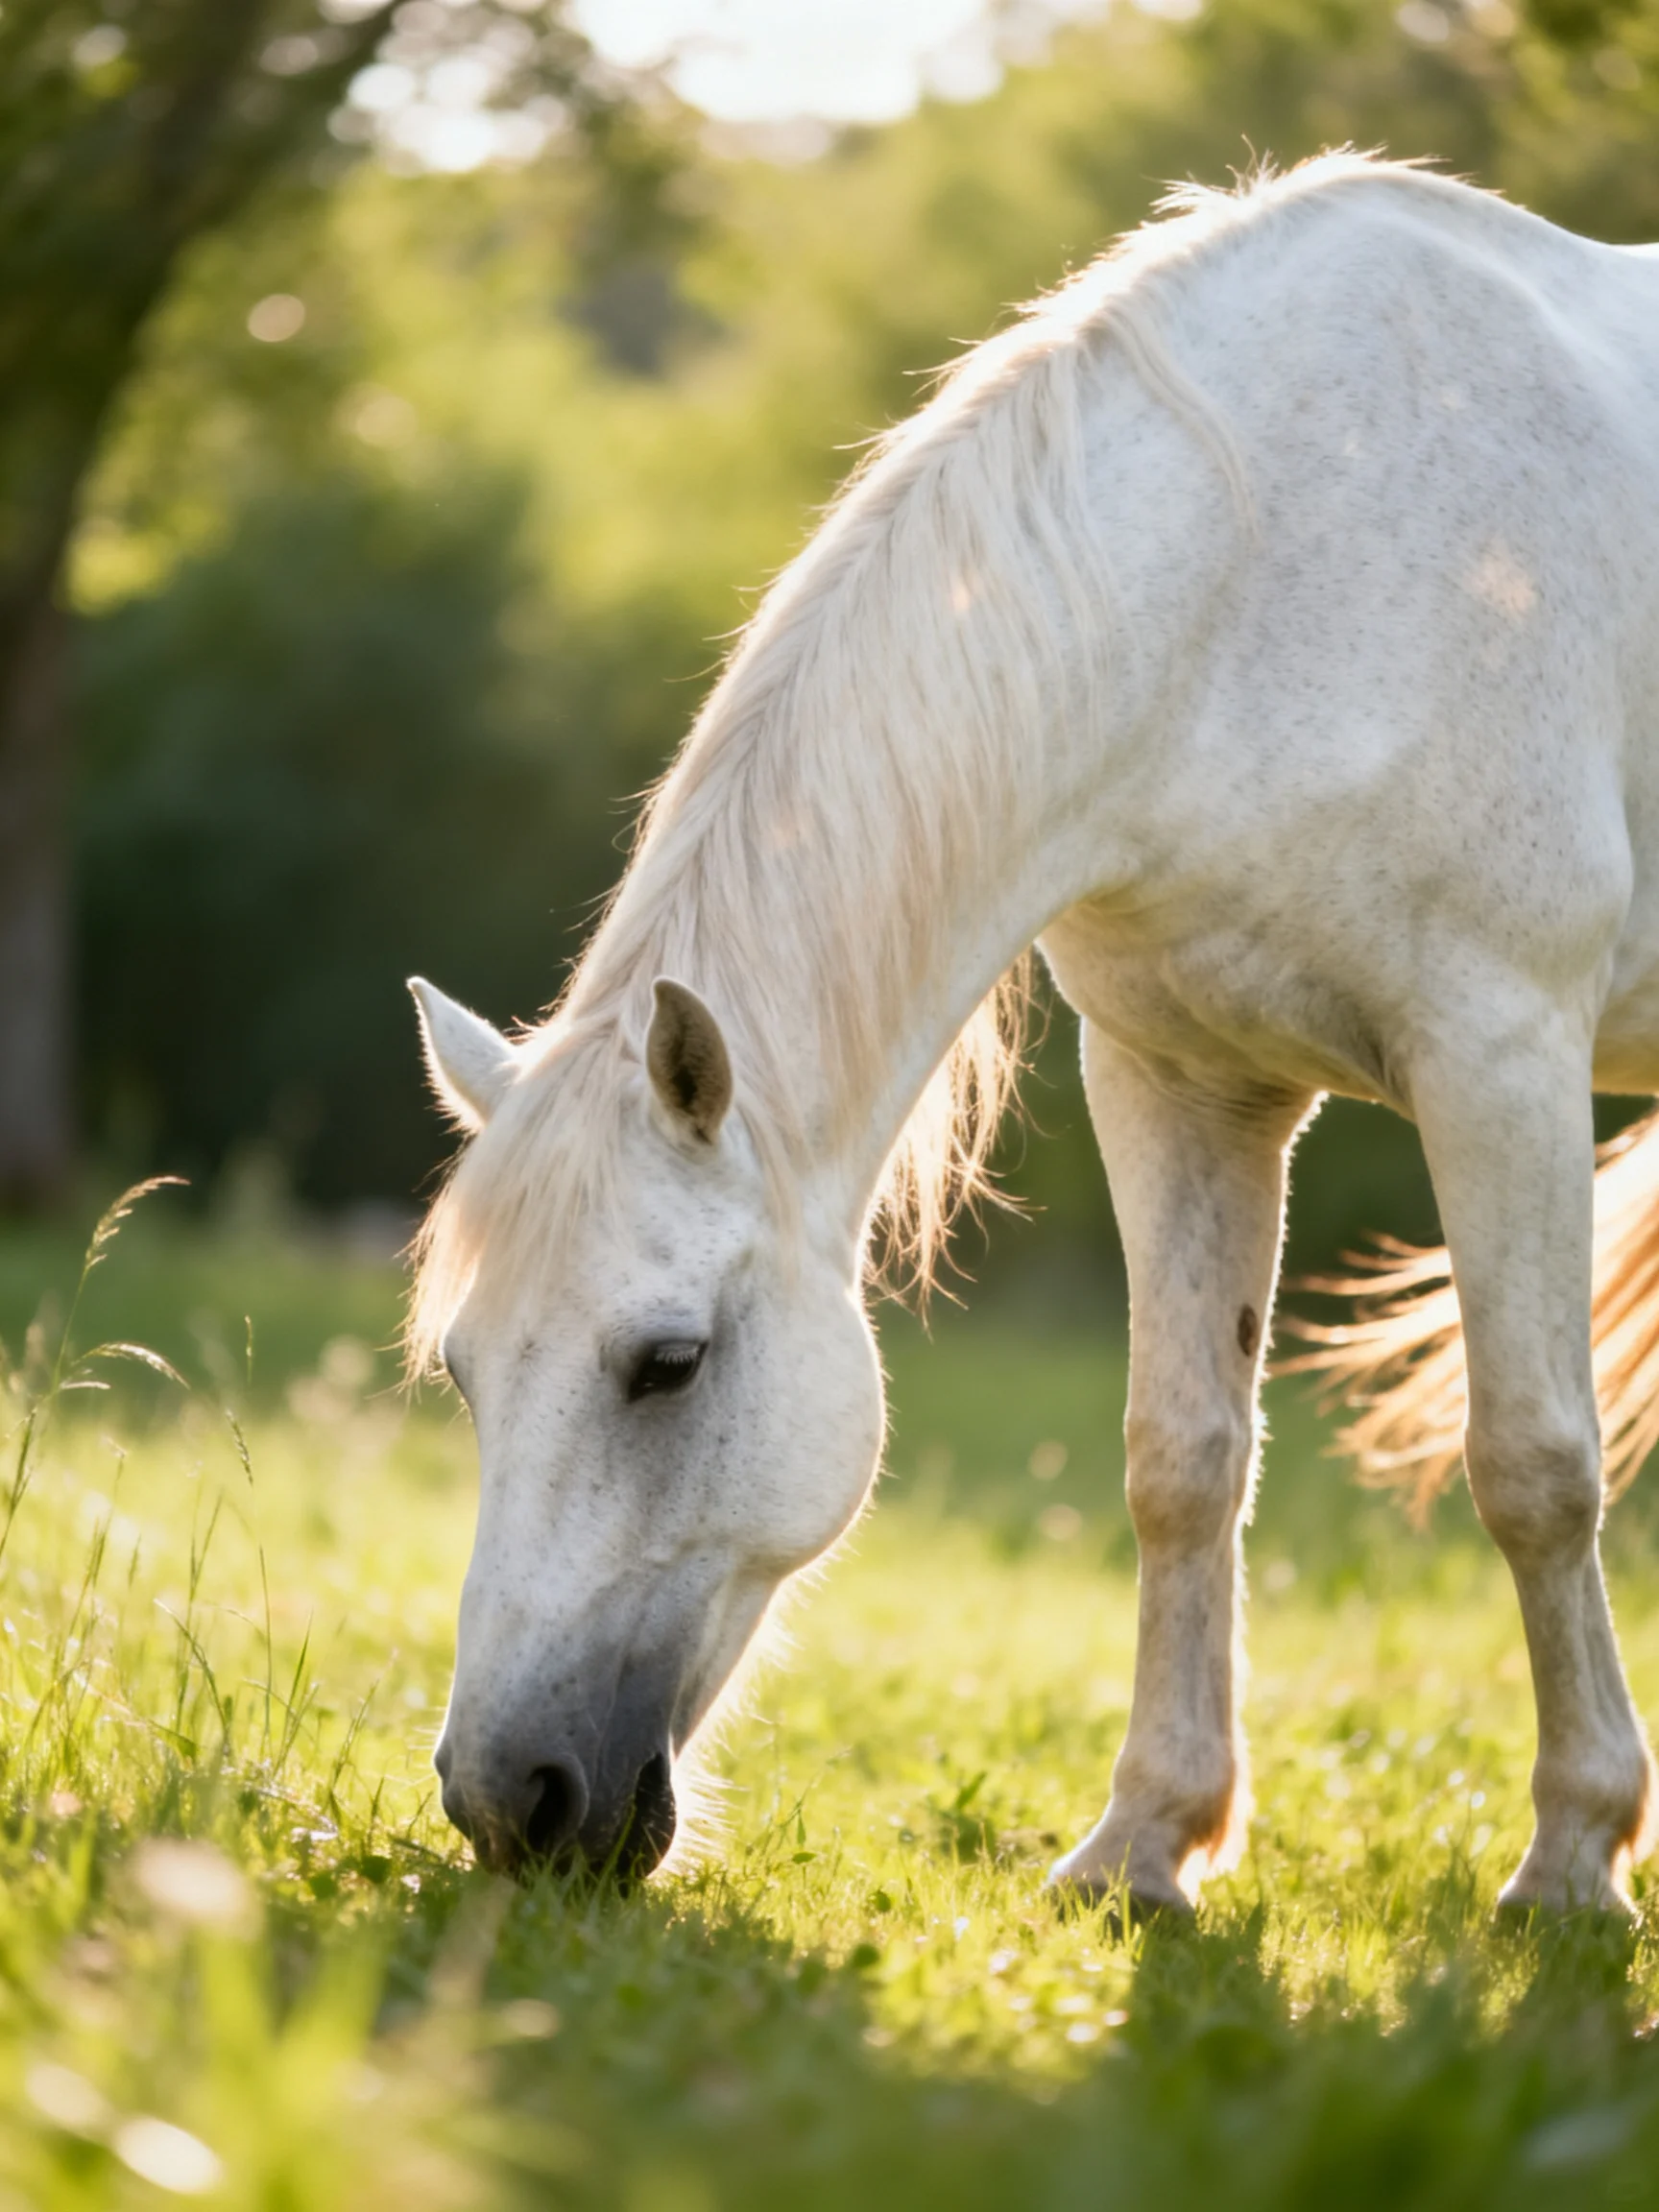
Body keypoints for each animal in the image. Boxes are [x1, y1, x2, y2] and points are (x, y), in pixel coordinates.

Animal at [408, 151, 1659, 1917]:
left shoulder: (1502, 1056)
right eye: (461, 1370)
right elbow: (1181, 1457)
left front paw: (1569, 1860)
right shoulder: (1182, 1081)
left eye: (667, 1364)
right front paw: (1145, 1843)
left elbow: (1536, 1464)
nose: (504, 1802)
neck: (1261, 571)